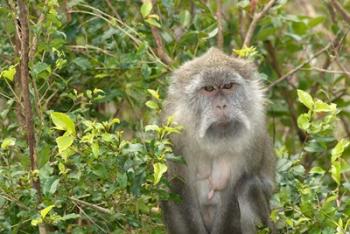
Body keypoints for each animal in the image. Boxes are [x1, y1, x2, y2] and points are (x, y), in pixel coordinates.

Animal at [162, 48, 276, 234]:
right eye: (209, 88)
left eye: (228, 86)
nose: (222, 106)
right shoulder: (174, 132)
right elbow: (178, 189)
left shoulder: (254, 134)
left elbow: (231, 195)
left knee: (248, 186)